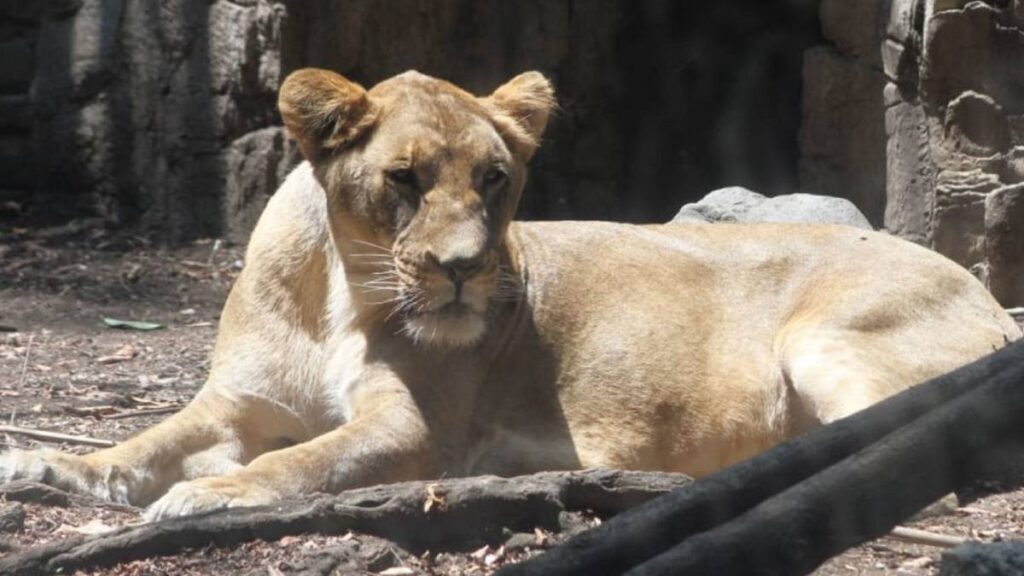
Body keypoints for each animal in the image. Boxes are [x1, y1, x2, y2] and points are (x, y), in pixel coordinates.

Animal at [1, 69, 1020, 521]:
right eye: (405, 178)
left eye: (495, 179)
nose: (461, 267)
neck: (339, 292)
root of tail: (986, 296)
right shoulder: (235, 403)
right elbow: (143, 444)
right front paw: (47, 467)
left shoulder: (414, 430)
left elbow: (306, 461)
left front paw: (208, 497)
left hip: (828, 338)